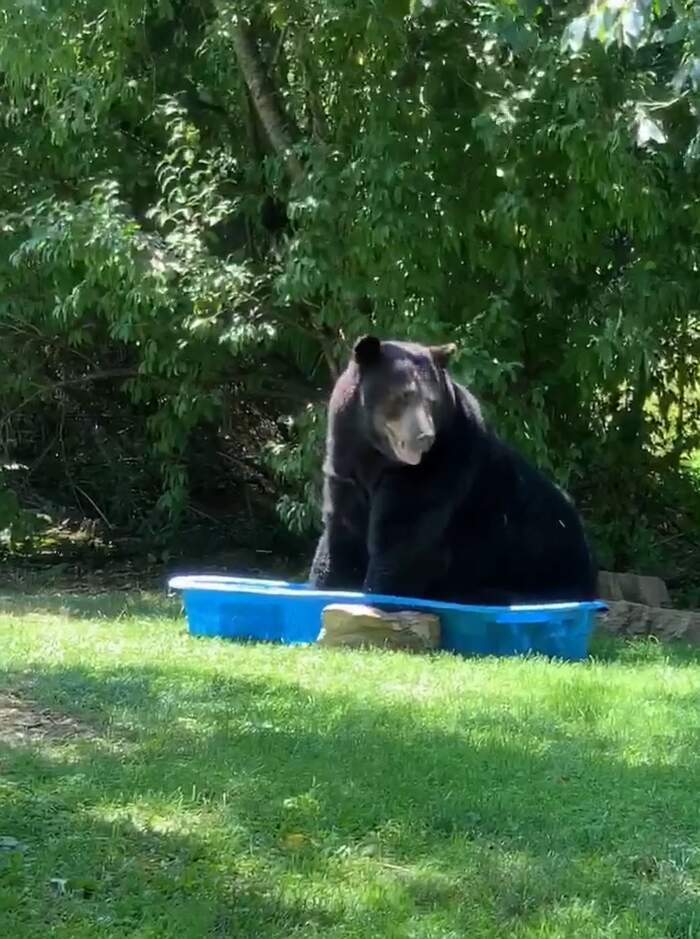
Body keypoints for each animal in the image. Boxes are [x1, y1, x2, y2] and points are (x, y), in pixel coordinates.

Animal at [310, 334, 596, 604]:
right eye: (404, 394)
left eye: (432, 401)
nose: (424, 437)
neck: (376, 457)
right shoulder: (345, 466)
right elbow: (342, 533)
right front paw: (328, 582)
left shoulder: (440, 465)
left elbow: (404, 538)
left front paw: (379, 592)